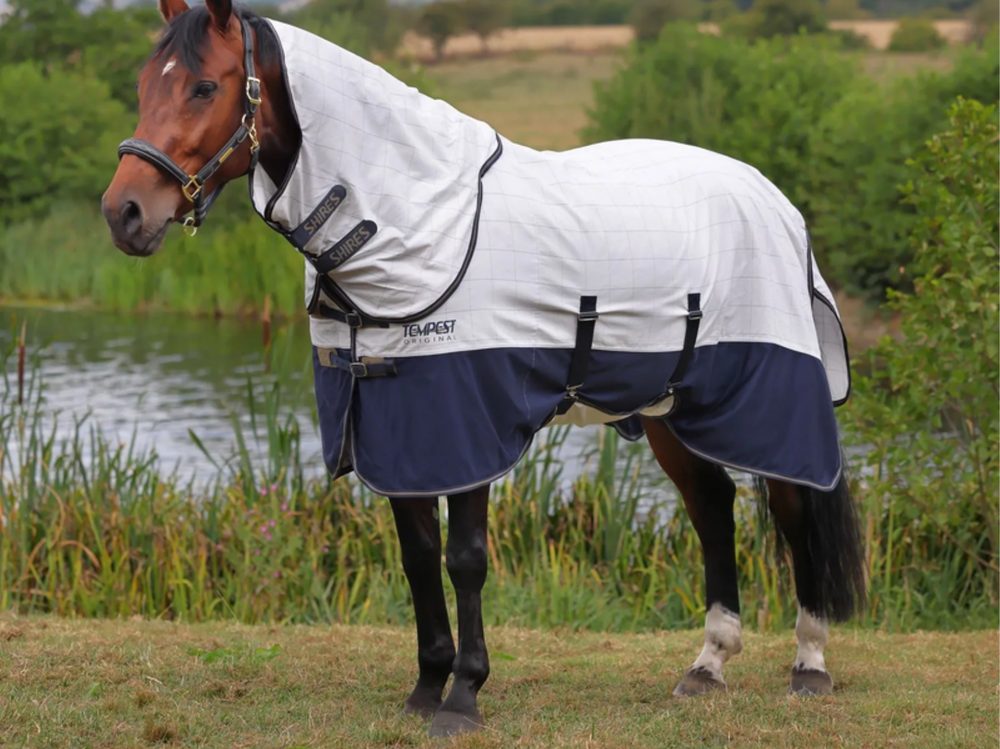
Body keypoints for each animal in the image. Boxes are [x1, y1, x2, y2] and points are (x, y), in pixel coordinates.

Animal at [102, 0, 866, 737]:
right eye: (142, 85)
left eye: (205, 86)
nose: (124, 213)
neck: (413, 220)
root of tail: (777, 202)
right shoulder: (395, 427)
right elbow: (417, 557)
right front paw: (424, 687)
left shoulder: (467, 423)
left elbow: (464, 558)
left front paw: (463, 696)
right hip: (670, 411)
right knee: (713, 507)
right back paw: (708, 664)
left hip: (767, 400)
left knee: (794, 508)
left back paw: (810, 662)